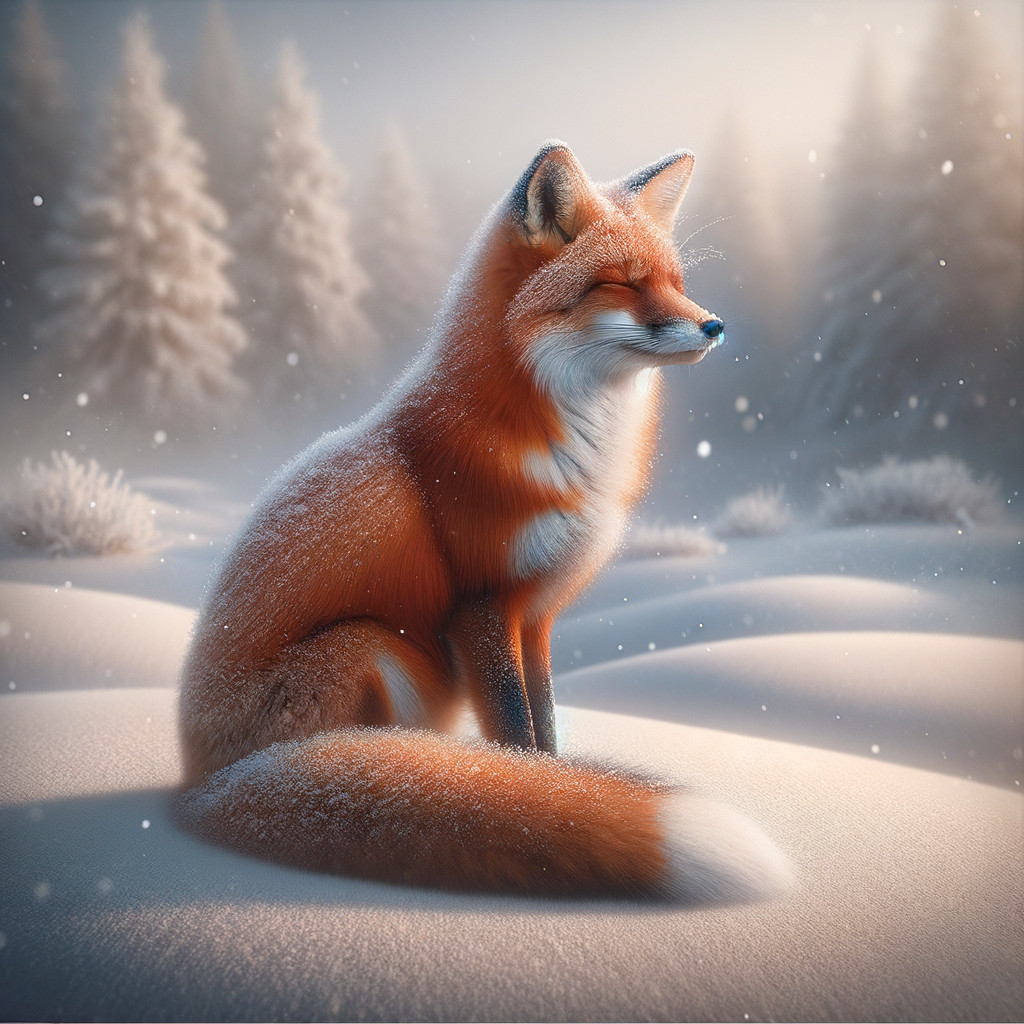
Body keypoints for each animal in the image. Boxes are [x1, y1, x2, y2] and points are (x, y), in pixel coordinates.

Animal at [176, 142, 793, 902]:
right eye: (622, 284)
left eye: (677, 282)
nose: (714, 325)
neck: (574, 449)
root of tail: (200, 782)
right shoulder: (482, 606)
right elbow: (514, 733)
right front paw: (528, 795)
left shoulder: (538, 615)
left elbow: (544, 732)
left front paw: (550, 786)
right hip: (364, 647)